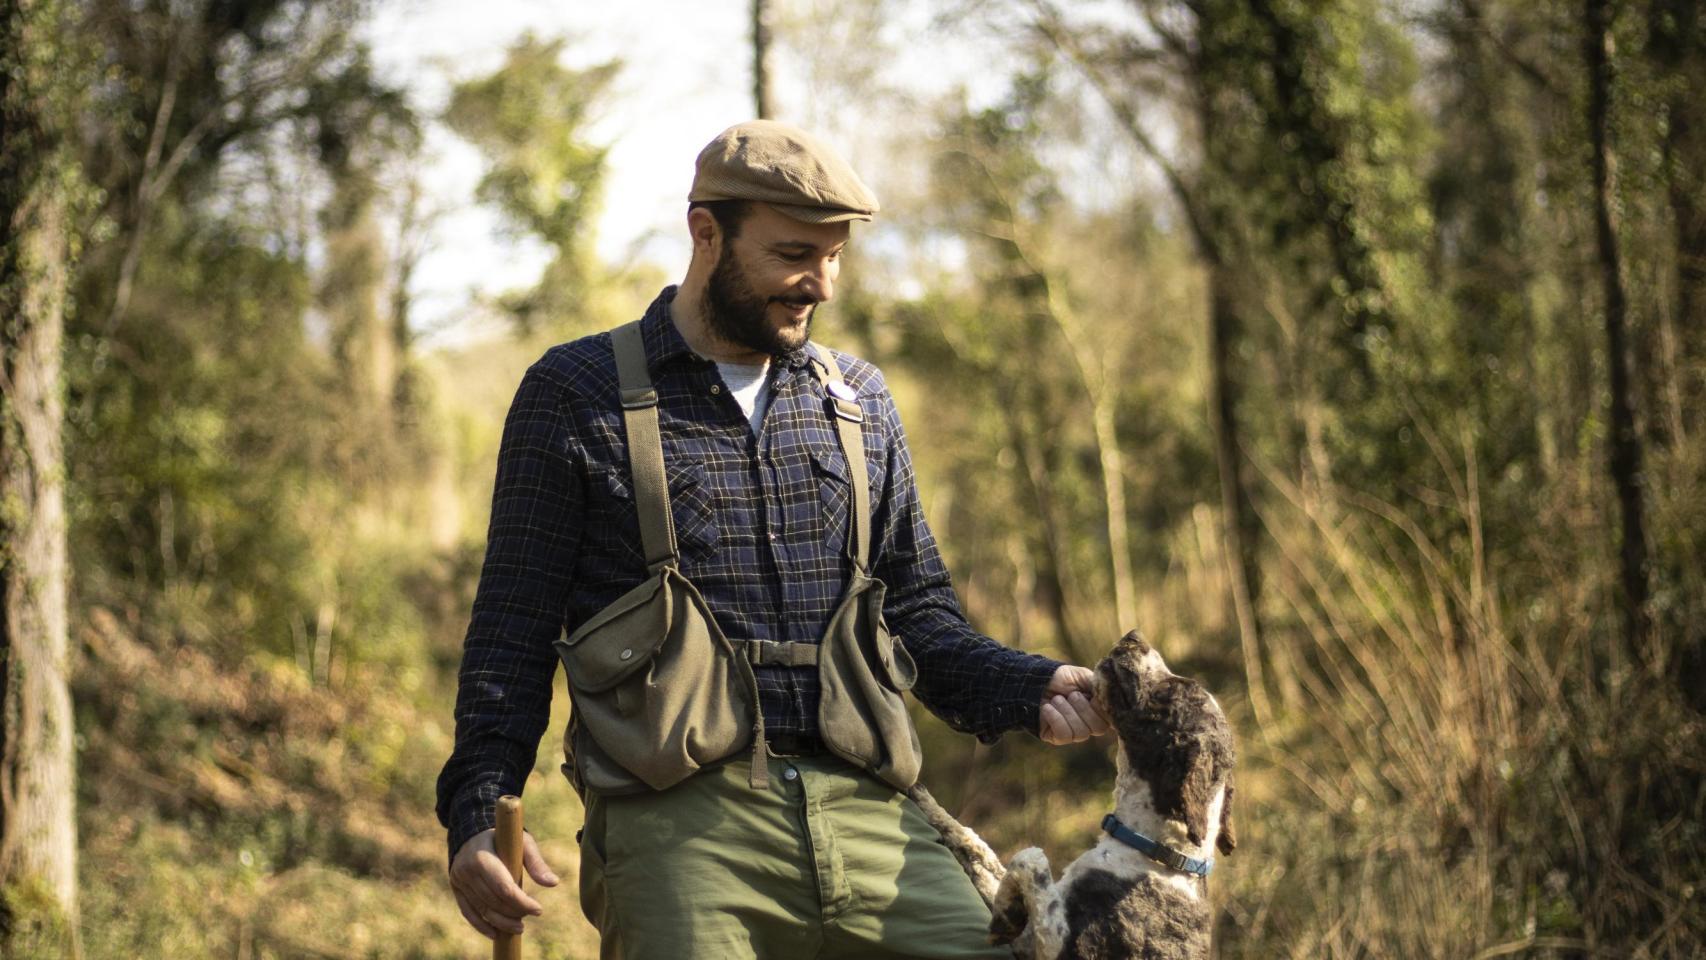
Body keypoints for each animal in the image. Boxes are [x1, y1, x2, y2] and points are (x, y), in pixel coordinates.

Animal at [914, 630, 1235, 960]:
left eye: (1172, 688)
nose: (1134, 636)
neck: (1154, 849)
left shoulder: (1057, 945)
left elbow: (1029, 857)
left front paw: (1004, 916)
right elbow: (979, 849)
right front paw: (928, 804)